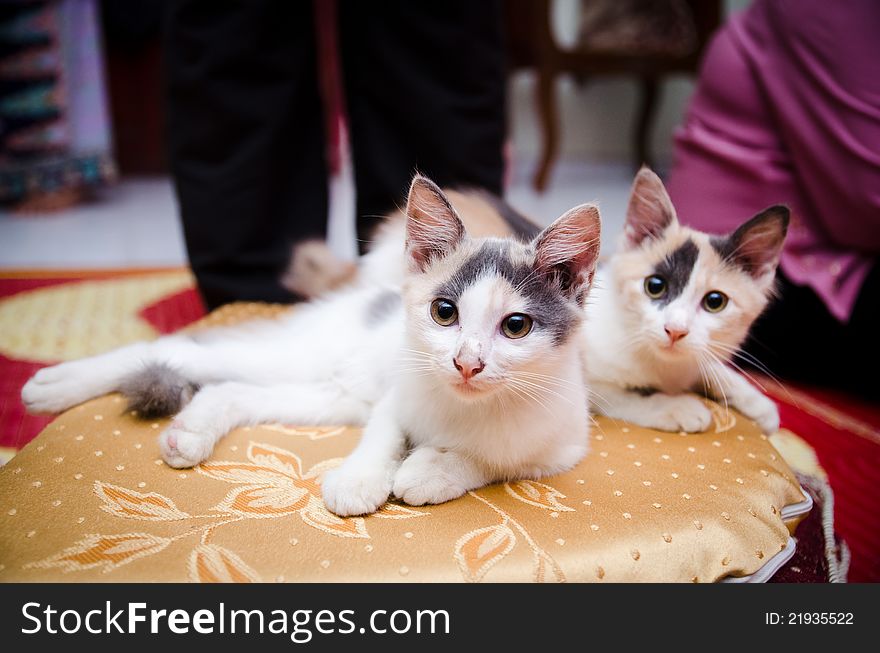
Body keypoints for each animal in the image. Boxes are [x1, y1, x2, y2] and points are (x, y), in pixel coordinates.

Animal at [20, 173, 600, 516]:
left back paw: (190, 432)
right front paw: (361, 480)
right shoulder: (394, 400)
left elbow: (495, 462)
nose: (466, 363)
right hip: (304, 360)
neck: (465, 409)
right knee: (185, 349)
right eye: (444, 312)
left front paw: (433, 470)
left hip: (330, 396)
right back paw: (53, 384)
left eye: (516, 326)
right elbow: (383, 437)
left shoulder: (560, 447)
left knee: (228, 388)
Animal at [584, 168, 792, 432]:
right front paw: (677, 407)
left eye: (715, 302)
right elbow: (619, 396)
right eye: (655, 286)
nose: (675, 330)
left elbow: (707, 365)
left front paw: (755, 401)